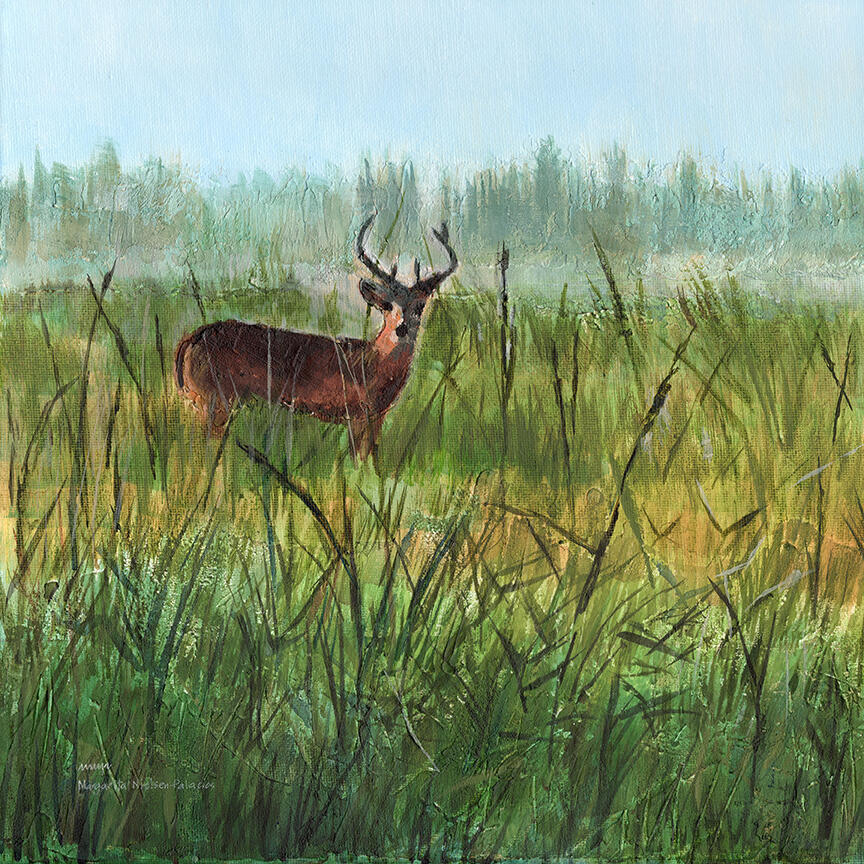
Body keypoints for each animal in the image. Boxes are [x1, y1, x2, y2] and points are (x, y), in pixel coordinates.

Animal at [173, 215, 458, 458]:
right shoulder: (357, 414)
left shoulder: (376, 417)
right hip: (214, 399)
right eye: (387, 305)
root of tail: (189, 339)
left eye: (419, 306)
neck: (372, 364)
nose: (402, 328)